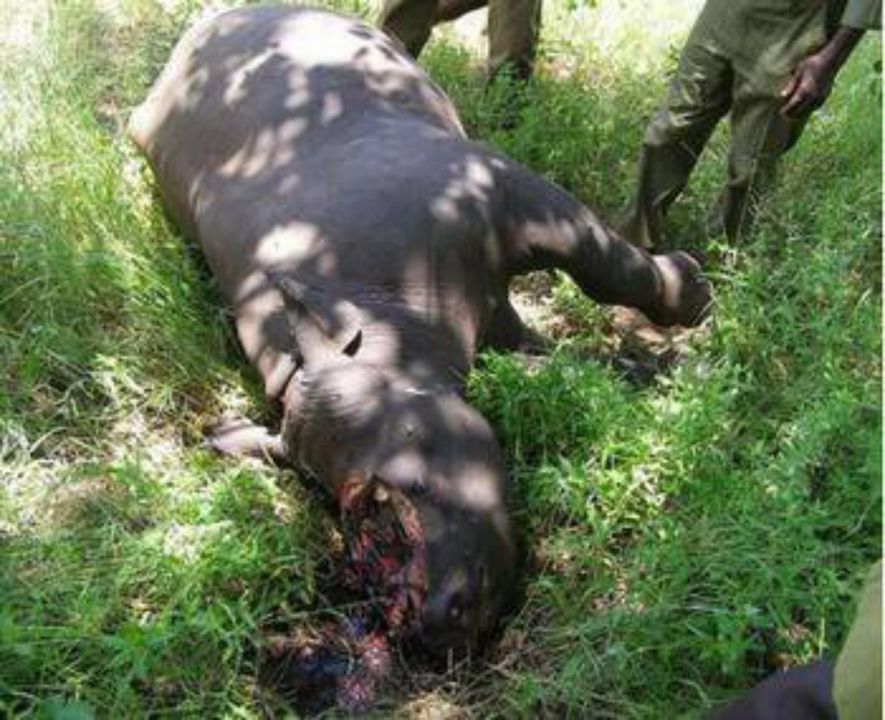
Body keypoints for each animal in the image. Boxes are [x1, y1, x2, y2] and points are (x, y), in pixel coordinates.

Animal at [129, 4, 712, 664]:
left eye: (412, 472)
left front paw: (692, 298)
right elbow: (556, 363)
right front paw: (662, 370)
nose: (435, 622)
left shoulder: (510, 192)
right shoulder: (488, 302)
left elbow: (611, 271)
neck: (389, 324)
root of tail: (201, 32)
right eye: (326, 498)